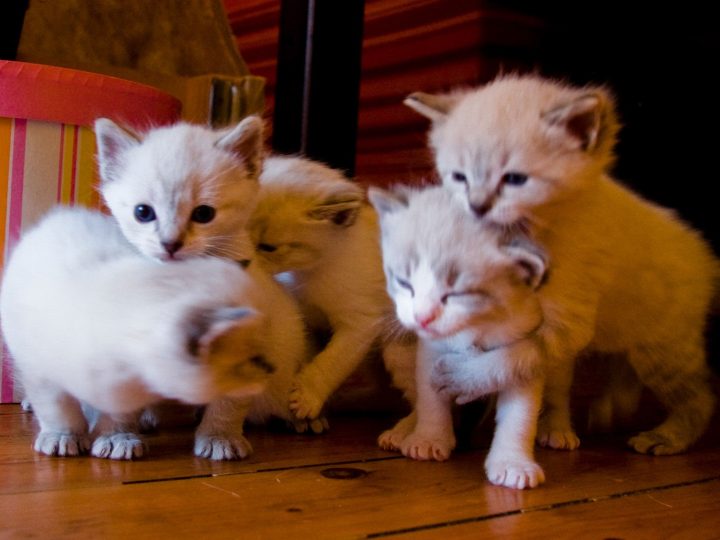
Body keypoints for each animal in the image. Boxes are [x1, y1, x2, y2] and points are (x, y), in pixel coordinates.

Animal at [0, 207, 308, 460]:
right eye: (252, 360)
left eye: (262, 347)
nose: (270, 368)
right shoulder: (41, 372)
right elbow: (60, 409)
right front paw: (67, 437)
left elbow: (116, 415)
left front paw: (116, 438)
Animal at [249, 156, 408, 426]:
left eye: (267, 247)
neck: (307, 273)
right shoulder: (306, 320)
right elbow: (310, 354)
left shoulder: (360, 325)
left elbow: (332, 362)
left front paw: (306, 397)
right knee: (385, 392)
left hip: (396, 350)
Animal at [368, 185, 548, 490]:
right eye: (404, 283)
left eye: (456, 293)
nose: (422, 317)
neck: (477, 325)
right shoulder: (431, 349)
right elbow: (429, 395)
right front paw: (429, 438)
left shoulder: (525, 343)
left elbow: (519, 414)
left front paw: (513, 462)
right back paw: (404, 429)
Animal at [408, 74, 716, 456]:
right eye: (459, 177)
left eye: (514, 179)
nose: (477, 207)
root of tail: (705, 256)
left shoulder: (566, 323)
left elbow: (511, 357)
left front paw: (460, 377)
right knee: (623, 372)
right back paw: (605, 411)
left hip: (663, 350)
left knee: (700, 396)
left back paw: (666, 437)